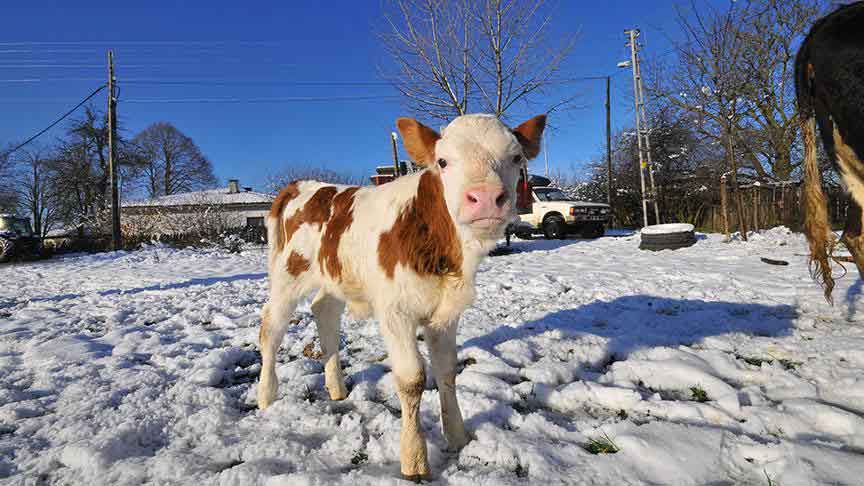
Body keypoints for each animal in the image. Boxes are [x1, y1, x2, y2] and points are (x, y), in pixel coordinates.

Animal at [256, 113, 548, 478]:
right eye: (443, 161)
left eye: (516, 158)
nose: (484, 197)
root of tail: (301, 185)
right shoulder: (395, 313)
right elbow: (412, 379)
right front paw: (415, 459)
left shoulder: (446, 314)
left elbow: (447, 370)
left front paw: (457, 436)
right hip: (287, 275)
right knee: (271, 329)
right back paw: (266, 396)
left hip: (334, 276)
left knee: (325, 313)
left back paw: (336, 388)